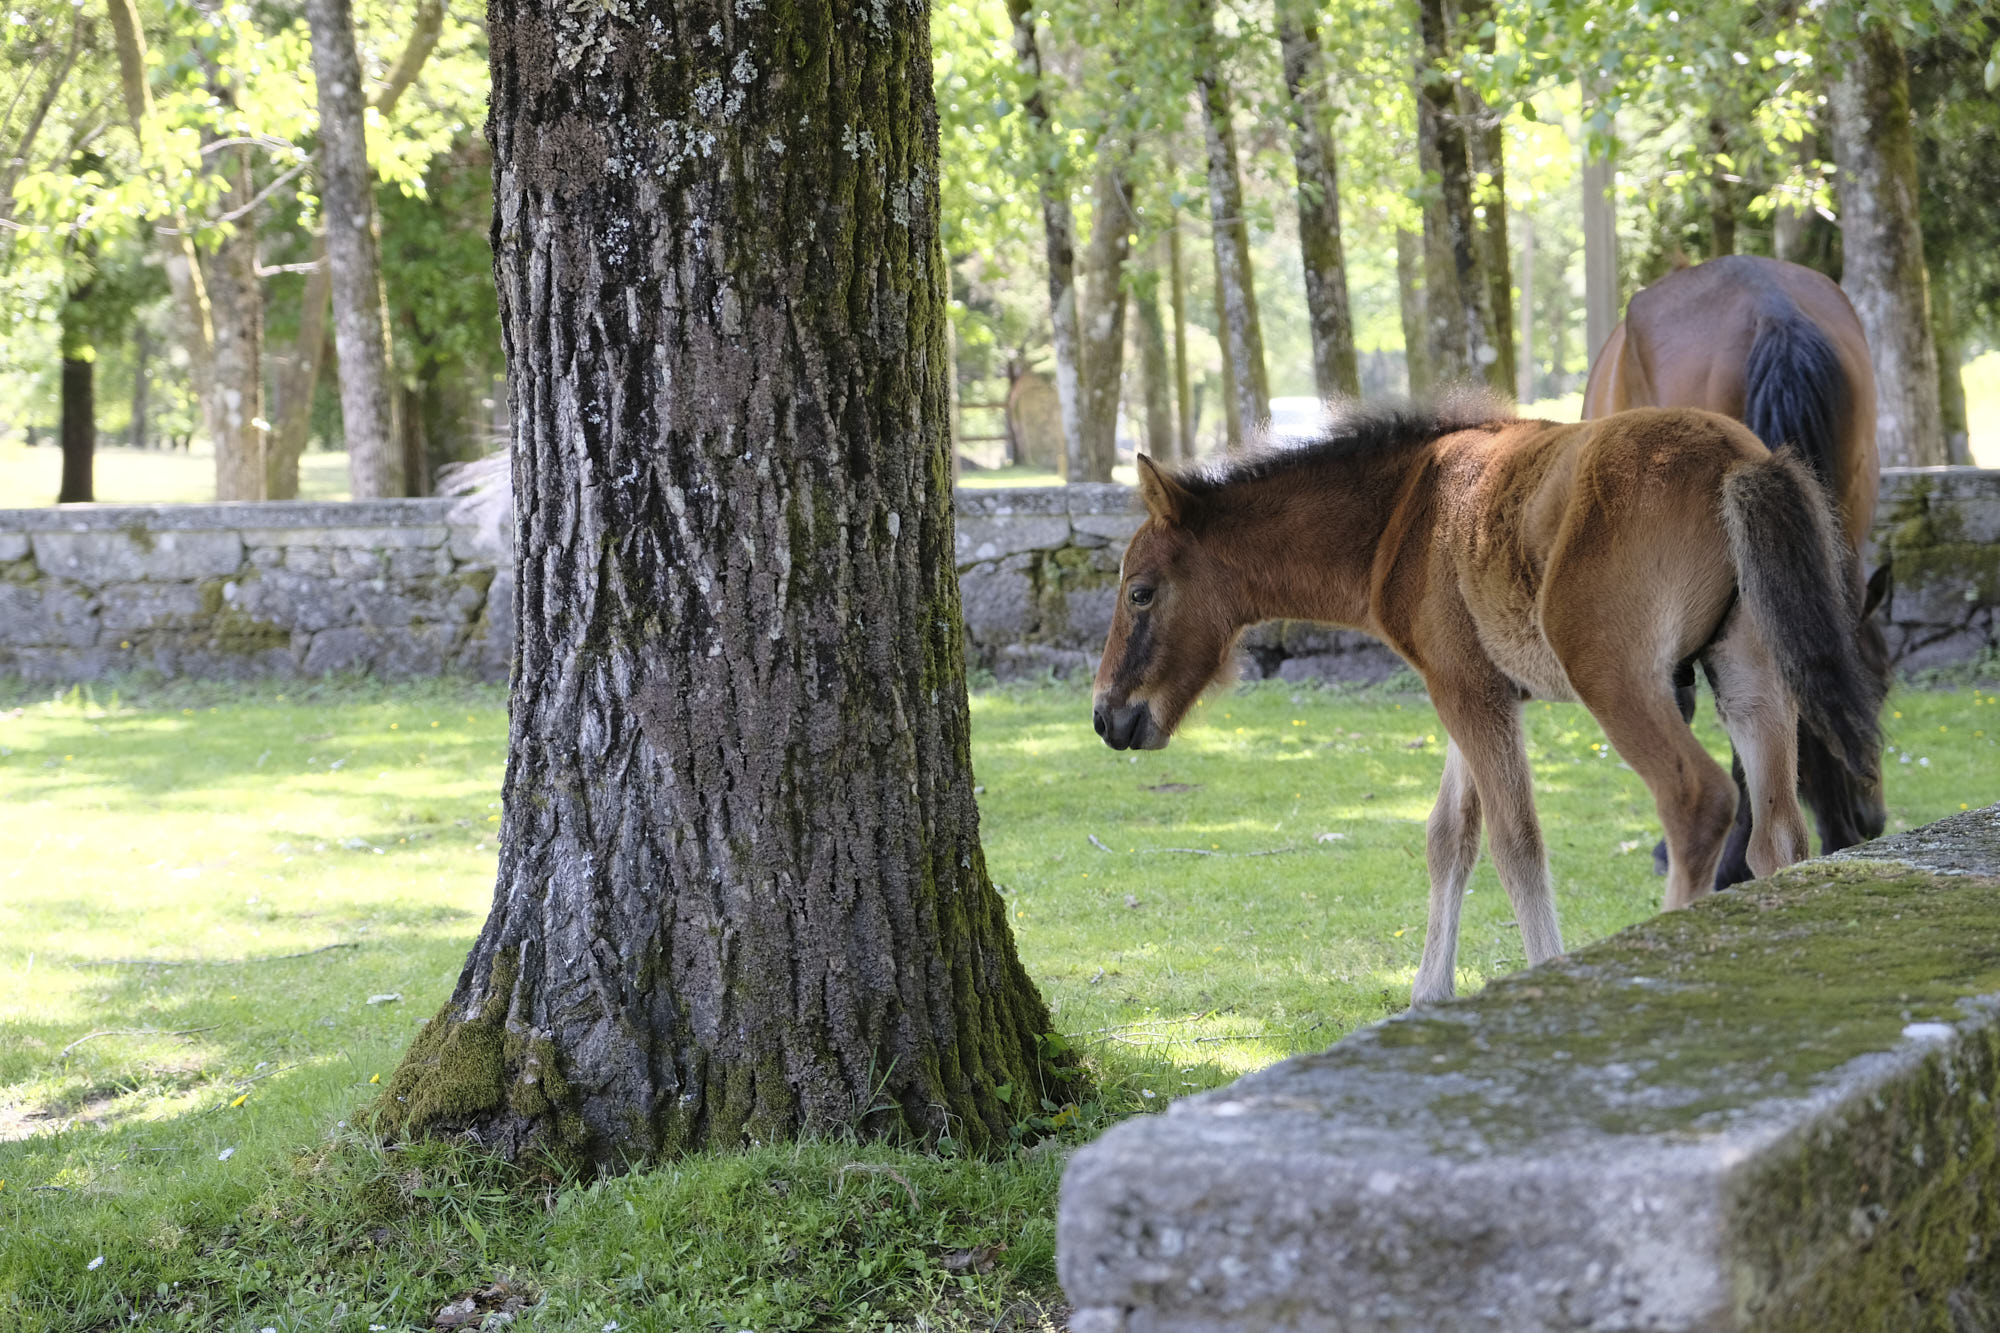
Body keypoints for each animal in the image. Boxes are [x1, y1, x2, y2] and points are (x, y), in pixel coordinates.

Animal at [1090, 399, 1883, 1006]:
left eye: (1141, 592)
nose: (1106, 715)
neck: (1403, 512)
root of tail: (1737, 459)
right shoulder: (1473, 688)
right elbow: (1450, 835)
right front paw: (1428, 995)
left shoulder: (1466, 692)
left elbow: (1515, 840)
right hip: (1750, 674)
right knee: (1777, 834)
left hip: (1614, 674)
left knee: (1699, 799)